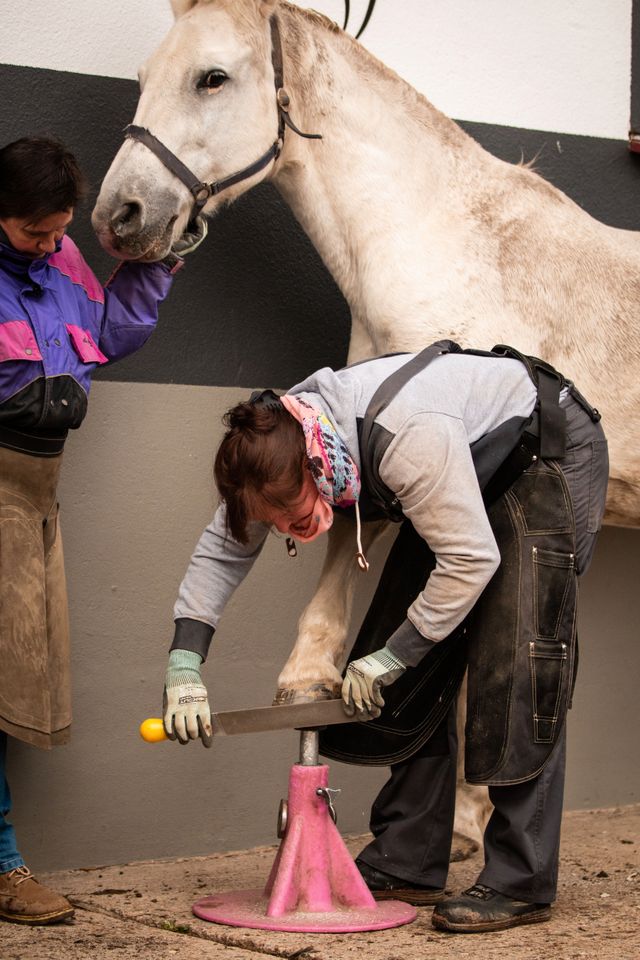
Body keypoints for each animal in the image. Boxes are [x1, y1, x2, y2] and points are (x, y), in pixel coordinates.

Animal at [91, 0, 640, 856]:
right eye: (145, 76)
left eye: (212, 77)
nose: (119, 215)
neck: (441, 241)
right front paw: (306, 681)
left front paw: (468, 824)